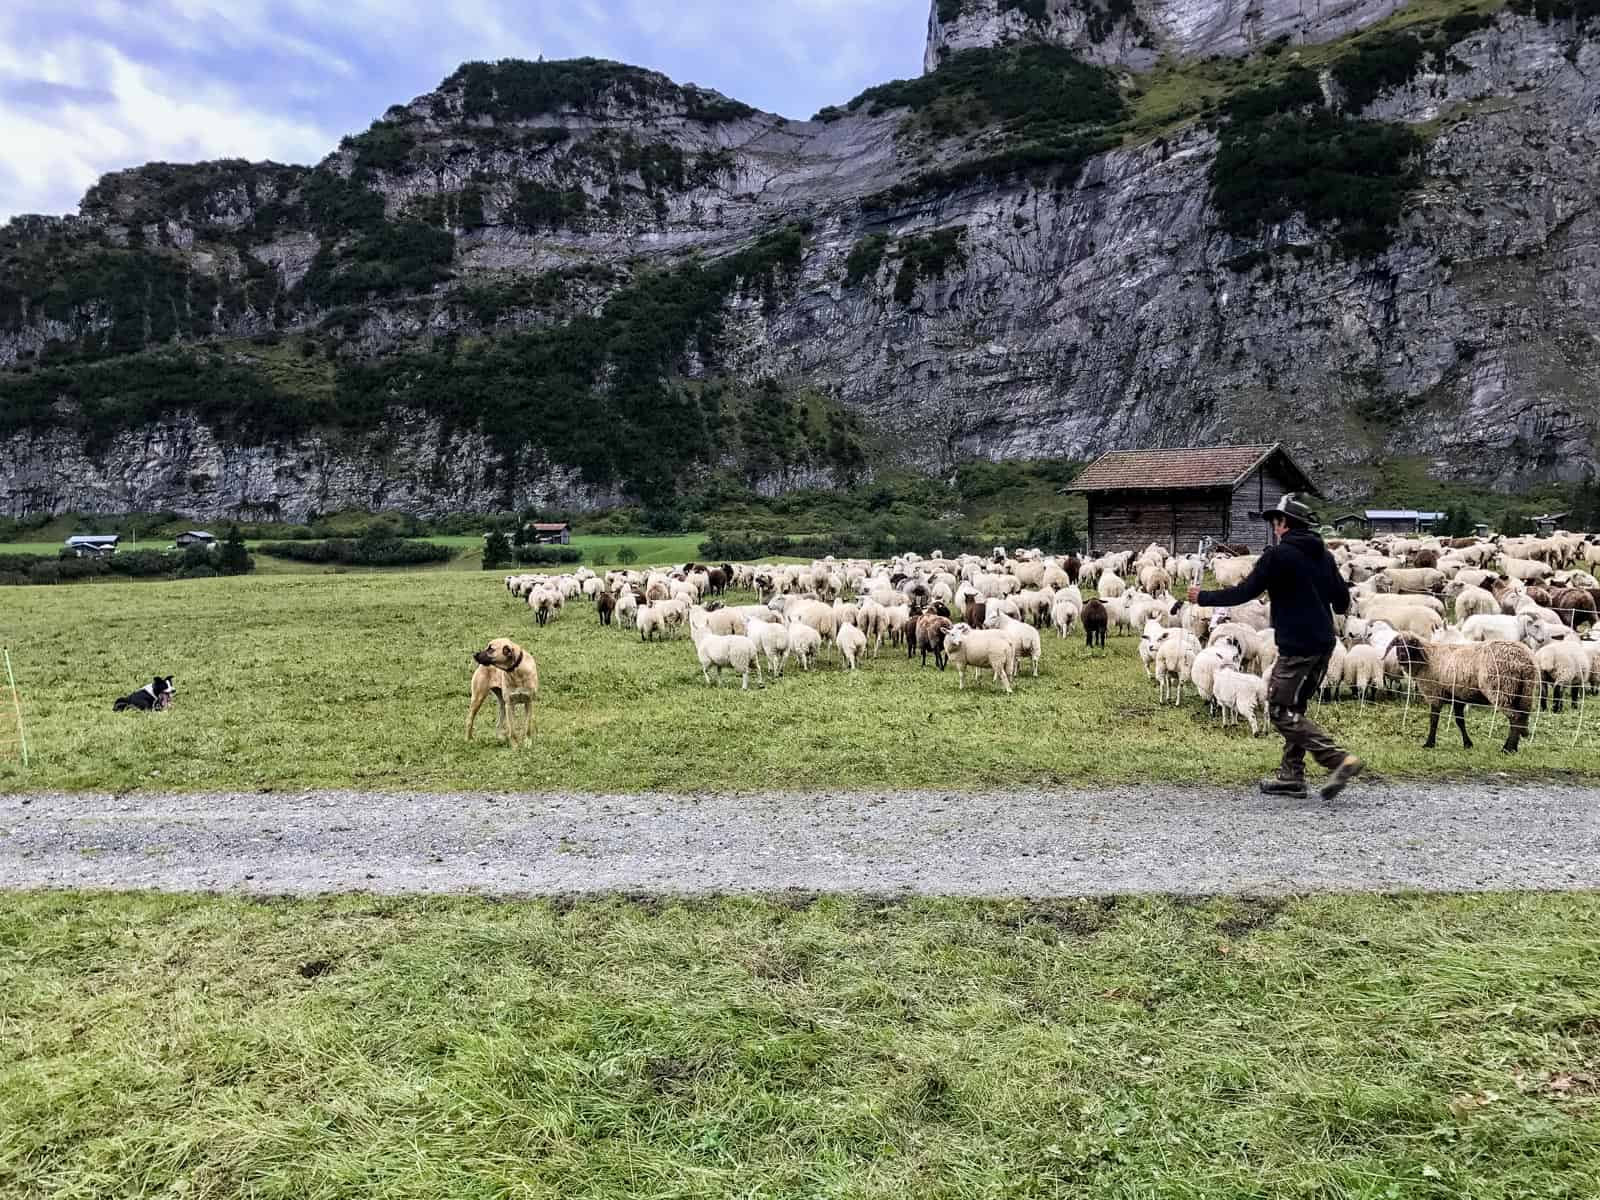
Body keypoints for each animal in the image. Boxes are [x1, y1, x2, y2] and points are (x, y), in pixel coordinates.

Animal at [1387, 634, 1538, 752]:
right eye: (1397, 644)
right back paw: (1513, 747)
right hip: (1524, 692)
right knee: (1521, 718)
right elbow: (1460, 721)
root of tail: (1524, 659)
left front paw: (1429, 744)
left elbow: (1434, 720)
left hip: (1501, 688)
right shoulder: (1458, 697)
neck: (1427, 659)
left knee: (1515, 718)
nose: (1401, 656)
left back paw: (1507, 749)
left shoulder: (1434, 693)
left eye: (1412, 644)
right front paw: (1467, 744)